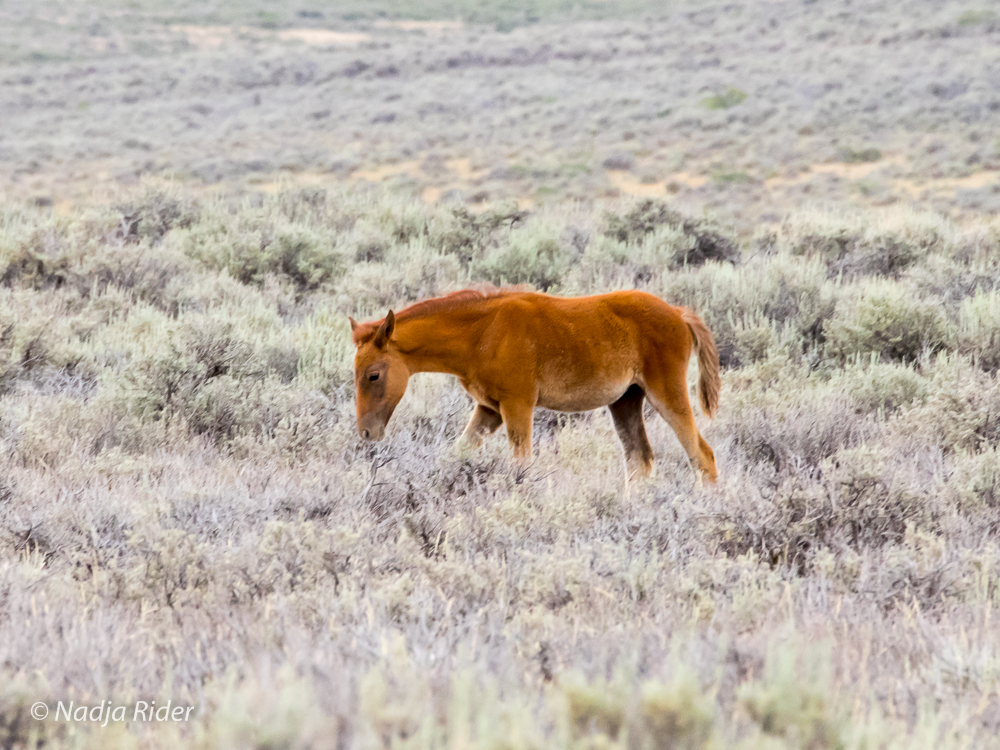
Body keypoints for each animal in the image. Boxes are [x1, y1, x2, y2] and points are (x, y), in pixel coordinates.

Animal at [350, 288, 720, 482]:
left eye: (373, 374)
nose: (367, 433)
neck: (483, 332)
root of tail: (677, 313)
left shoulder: (517, 407)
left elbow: (521, 464)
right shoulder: (489, 410)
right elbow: (459, 451)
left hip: (667, 394)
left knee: (701, 455)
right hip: (626, 401)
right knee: (640, 461)